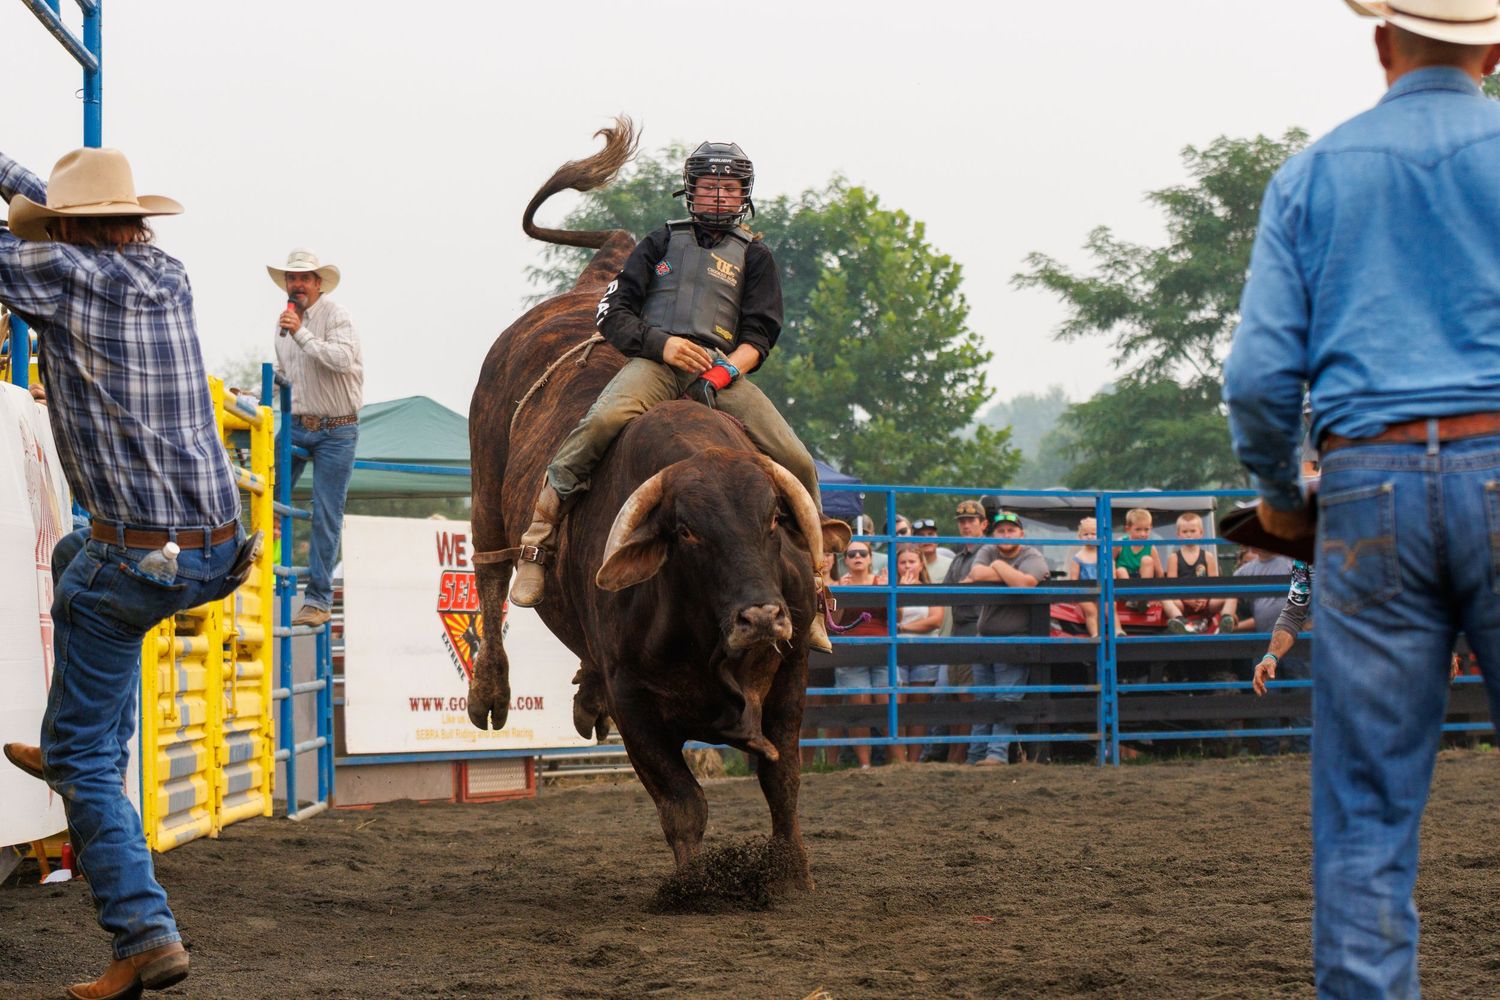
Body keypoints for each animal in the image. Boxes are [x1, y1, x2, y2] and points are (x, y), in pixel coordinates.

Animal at [467, 118, 847, 887]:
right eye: (687, 533)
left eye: (773, 521)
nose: (761, 617)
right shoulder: (638, 705)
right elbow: (683, 803)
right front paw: (692, 885)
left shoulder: (790, 681)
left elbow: (783, 783)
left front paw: (791, 873)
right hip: (486, 481)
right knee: (491, 574)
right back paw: (491, 688)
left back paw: (580, 697)